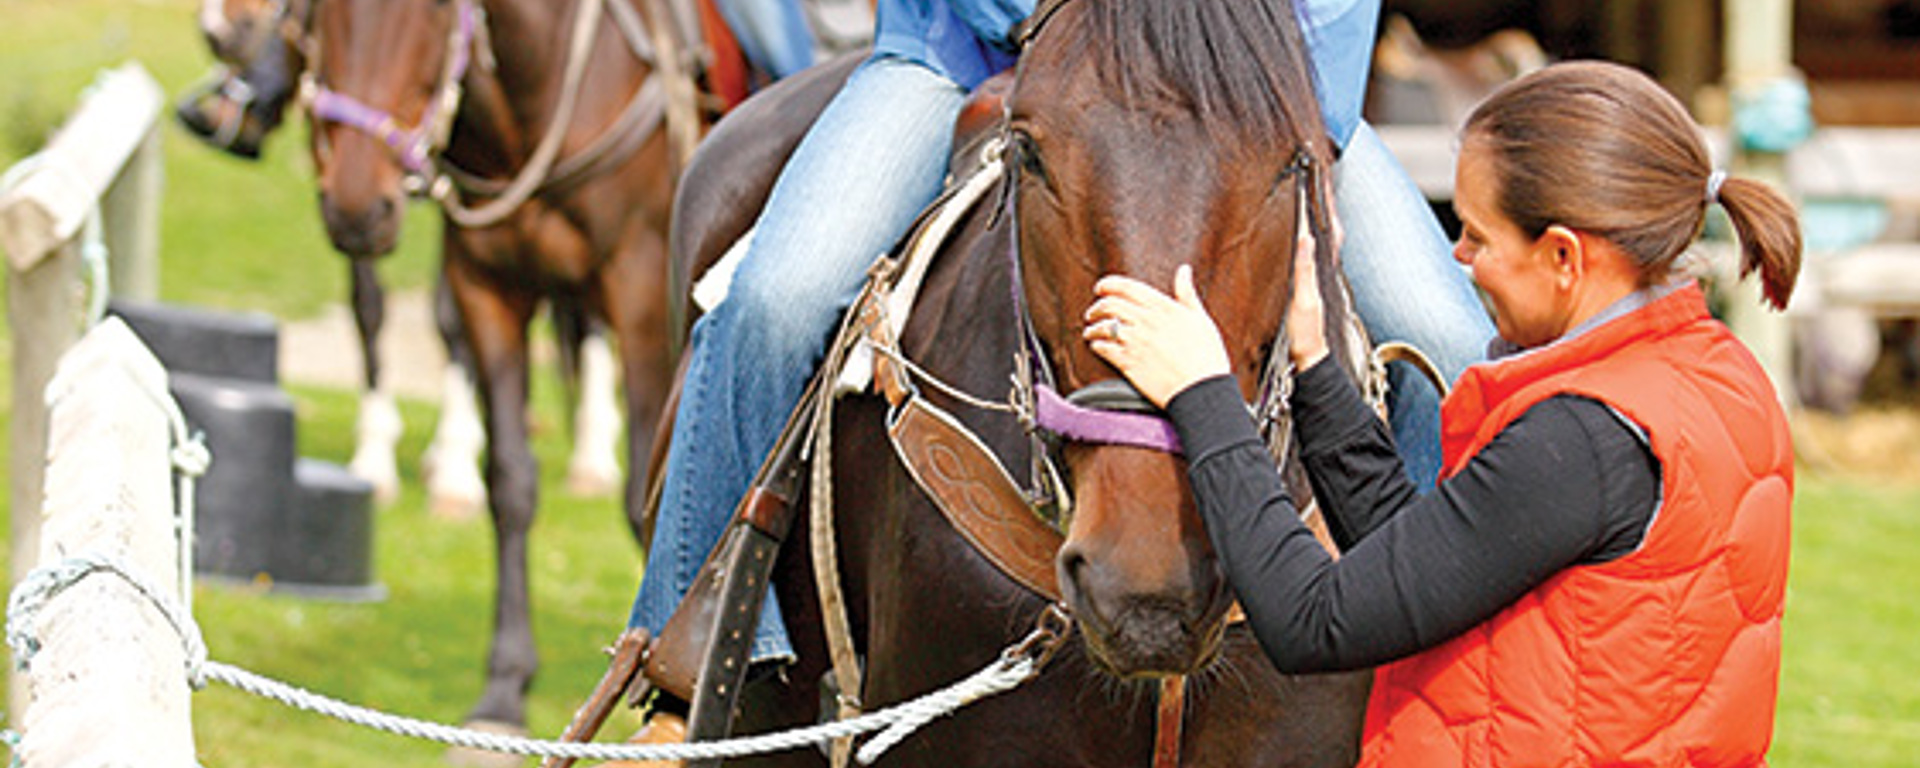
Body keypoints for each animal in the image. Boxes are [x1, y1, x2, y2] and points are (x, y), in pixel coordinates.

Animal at [303, 0, 687, 737]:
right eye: (317, 13)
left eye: (430, 12)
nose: (356, 209)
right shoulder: (486, 287)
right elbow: (509, 482)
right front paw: (505, 685)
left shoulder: (641, 291)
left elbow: (646, 500)